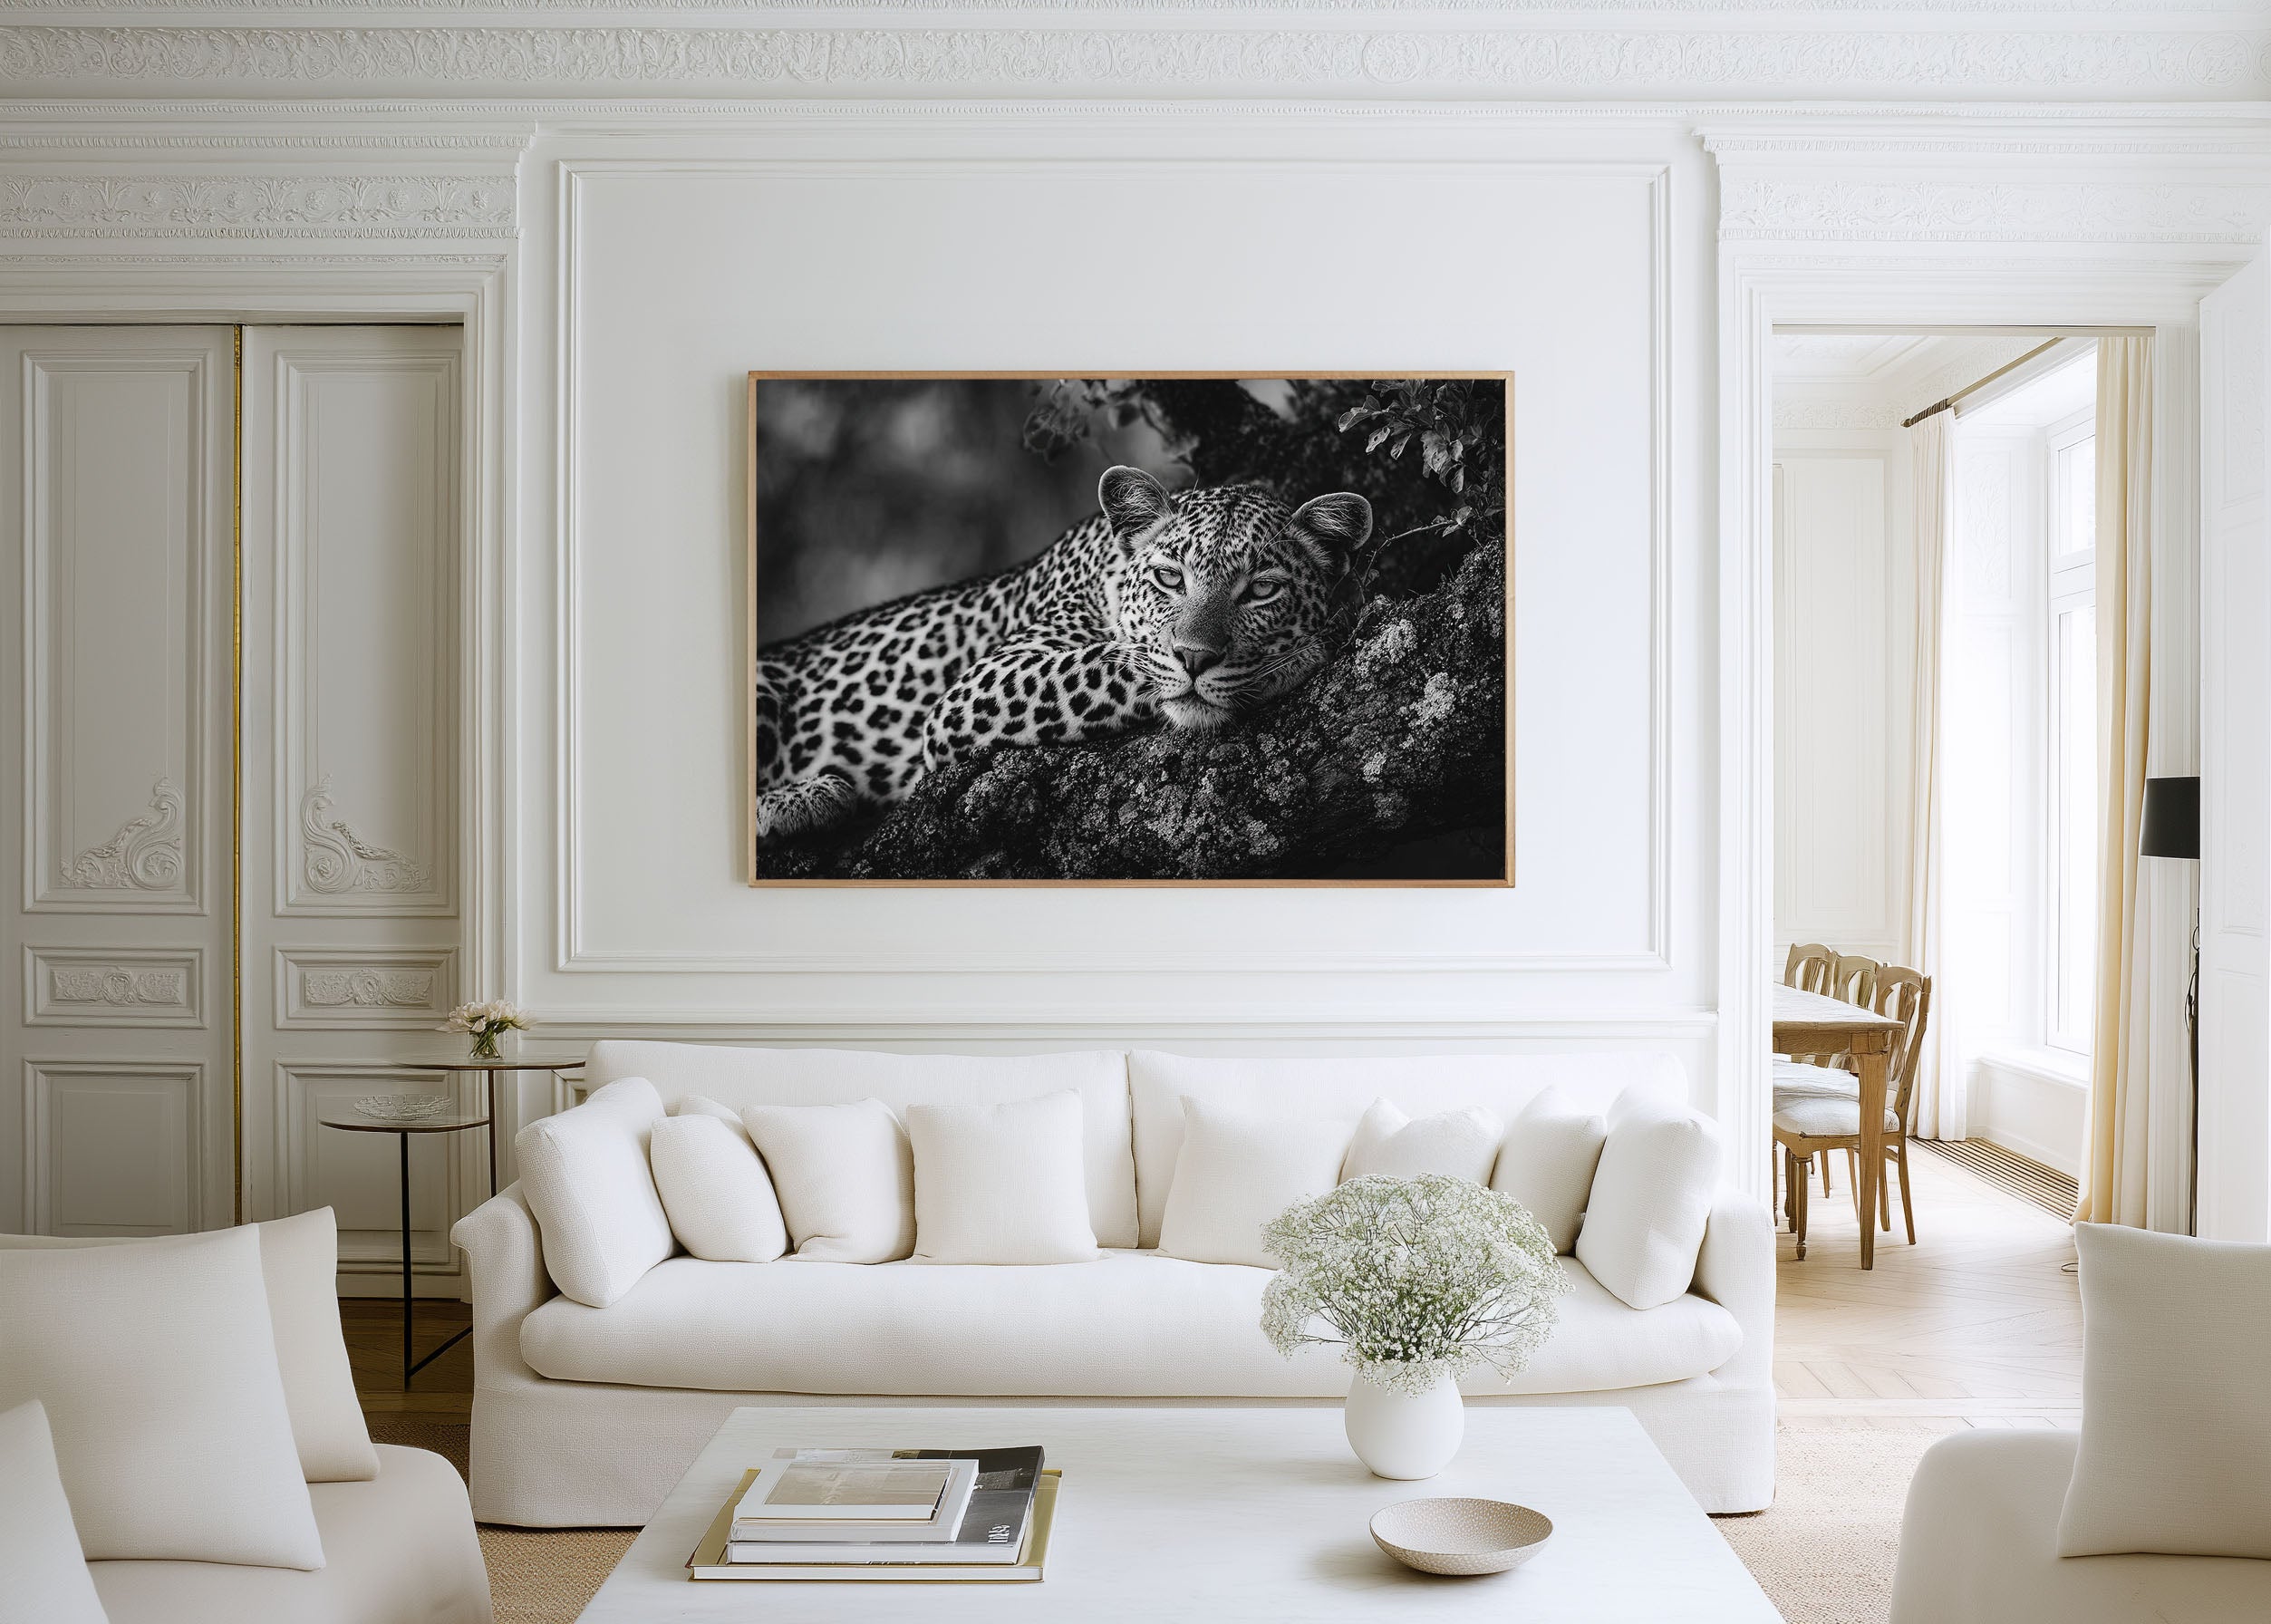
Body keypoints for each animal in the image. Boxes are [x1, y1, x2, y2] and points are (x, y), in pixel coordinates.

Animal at [753, 464, 1374, 841]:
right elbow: (1118, 662)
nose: (1196, 658)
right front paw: (1295, 657)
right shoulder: (977, 687)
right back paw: (806, 798)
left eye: (1262, 590)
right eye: (1170, 578)